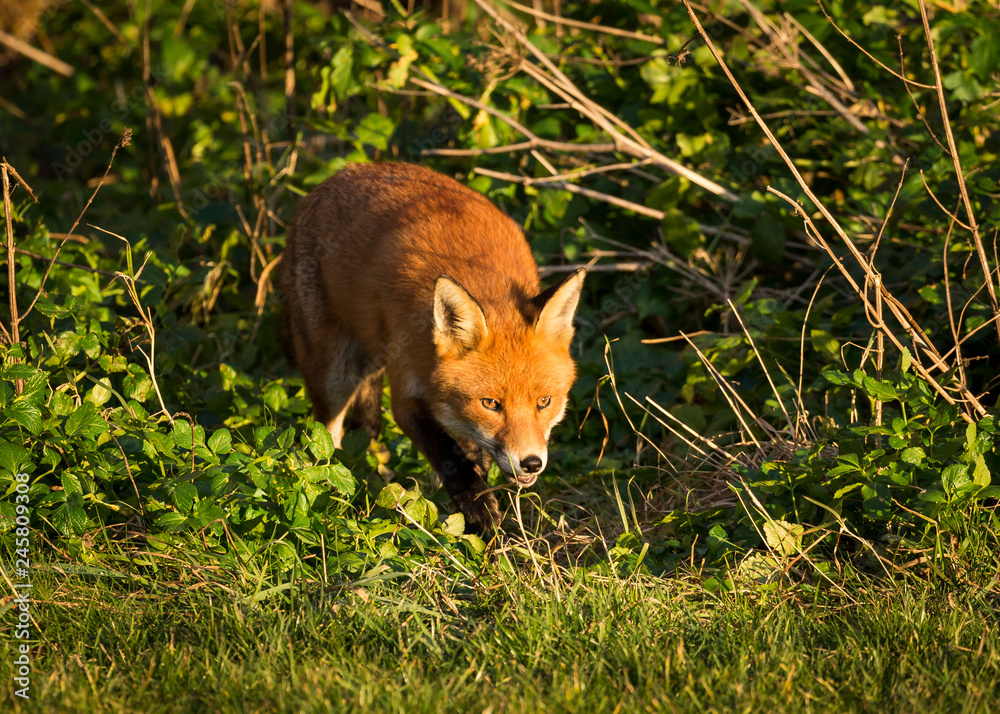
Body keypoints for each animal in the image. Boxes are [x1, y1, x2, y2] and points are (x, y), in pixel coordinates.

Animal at [278, 161, 584, 528]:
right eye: (491, 404)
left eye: (544, 402)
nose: (531, 462)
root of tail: (336, 175)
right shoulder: (406, 396)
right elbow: (450, 458)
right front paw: (482, 517)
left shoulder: (462, 420)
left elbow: (471, 457)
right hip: (334, 374)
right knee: (326, 439)